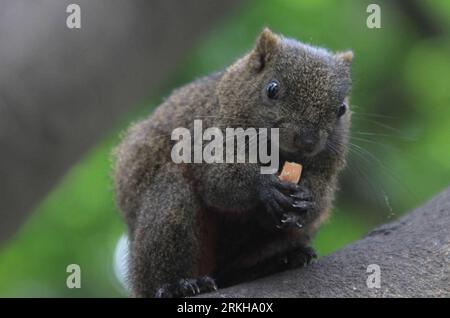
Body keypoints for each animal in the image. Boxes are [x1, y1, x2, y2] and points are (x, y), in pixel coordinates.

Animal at [111, 28, 352, 298]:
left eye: (342, 109)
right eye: (272, 89)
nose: (307, 140)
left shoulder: (326, 166)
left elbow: (320, 199)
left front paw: (307, 201)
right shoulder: (207, 137)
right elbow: (218, 182)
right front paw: (264, 186)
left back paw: (278, 261)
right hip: (167, 214)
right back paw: (176, 285)